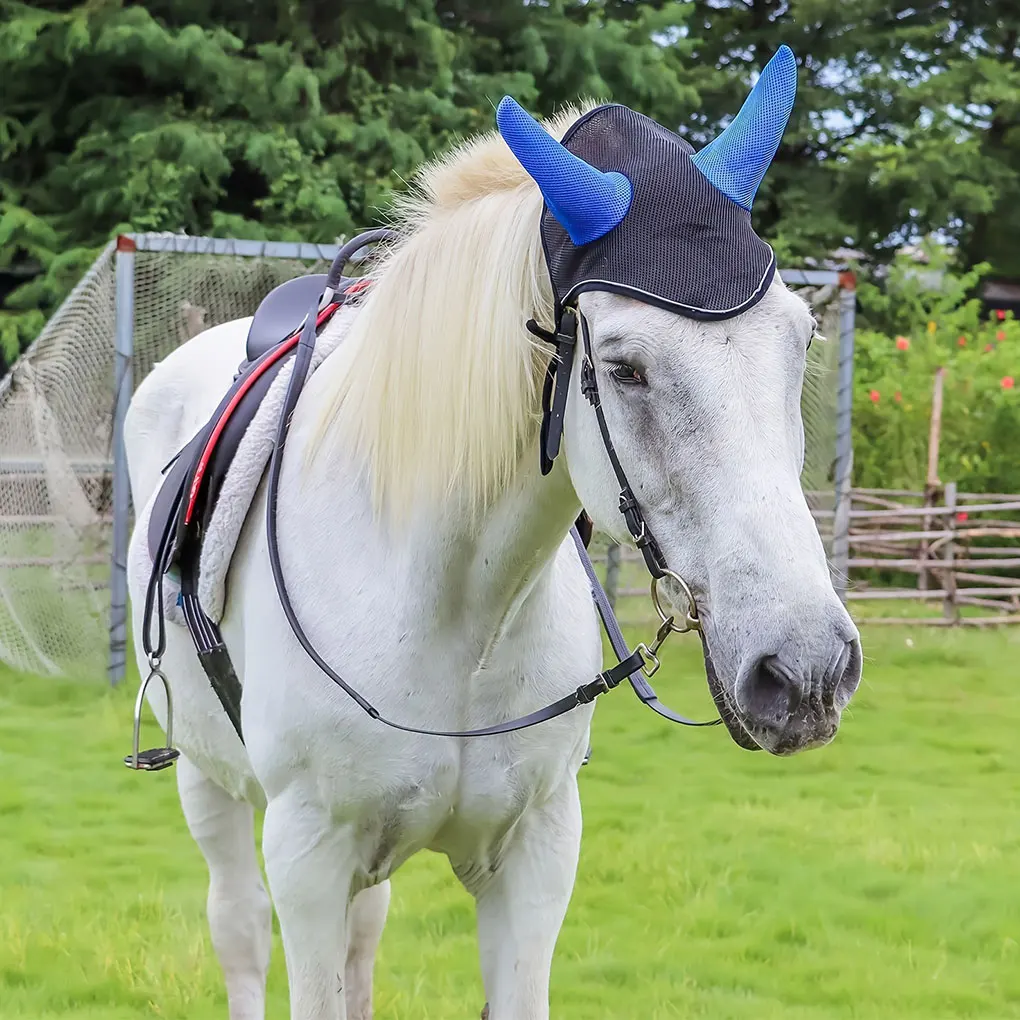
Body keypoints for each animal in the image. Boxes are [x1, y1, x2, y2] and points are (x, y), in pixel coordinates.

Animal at [125, 47, 862, 1020]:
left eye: (801, 338)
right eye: (624, 368)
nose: (807, 669)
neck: (451, 610)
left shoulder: (537, 856)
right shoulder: (307, 860)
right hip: (208, 784)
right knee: (238, 929)